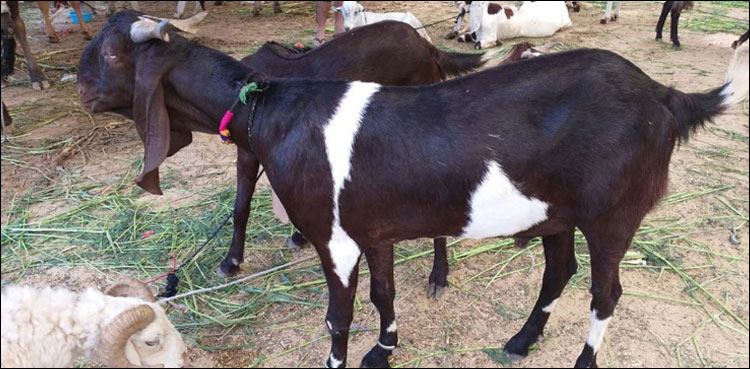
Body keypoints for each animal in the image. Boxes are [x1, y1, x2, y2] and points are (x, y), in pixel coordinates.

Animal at [76, 10, 748, 366]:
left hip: (614, 214)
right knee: (560, 271)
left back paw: (581, 359)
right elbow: (383, 294)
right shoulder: (372, 229)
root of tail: (665, 96)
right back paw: (520, 340)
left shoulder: (333, 238)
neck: (271, 110)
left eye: (110, 56)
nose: (78, 90)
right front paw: (384, 349)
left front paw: (344, 357)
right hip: (554, 212)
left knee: (606, 291)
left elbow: (339, 315)